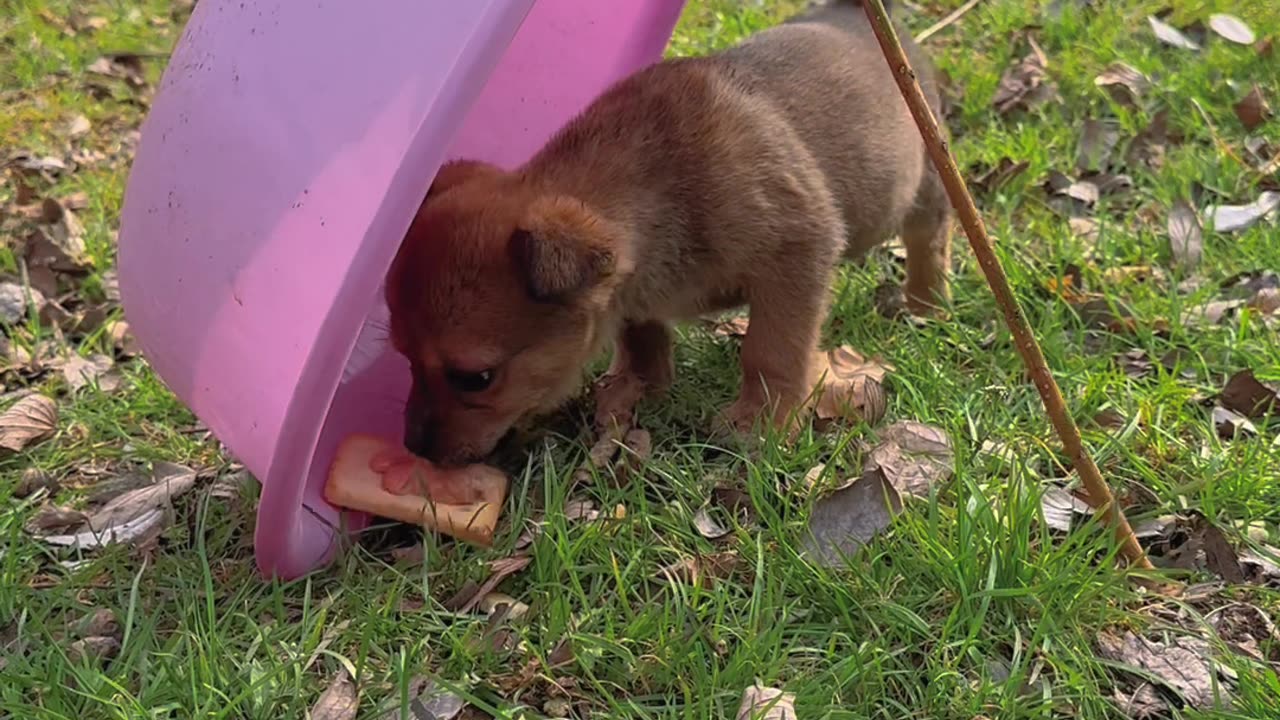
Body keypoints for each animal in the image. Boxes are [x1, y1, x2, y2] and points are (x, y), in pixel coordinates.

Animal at [384, 0, 947, 458]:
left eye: (475, 379)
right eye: (403, 357)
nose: (413, 448)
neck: (661, 190)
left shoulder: (796, 253)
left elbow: (770, 351)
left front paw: (760, 421)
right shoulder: (630, 289)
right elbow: (642, 336)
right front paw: (641, 386)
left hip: (926, 180)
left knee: (931, 239)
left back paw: (927, 304)